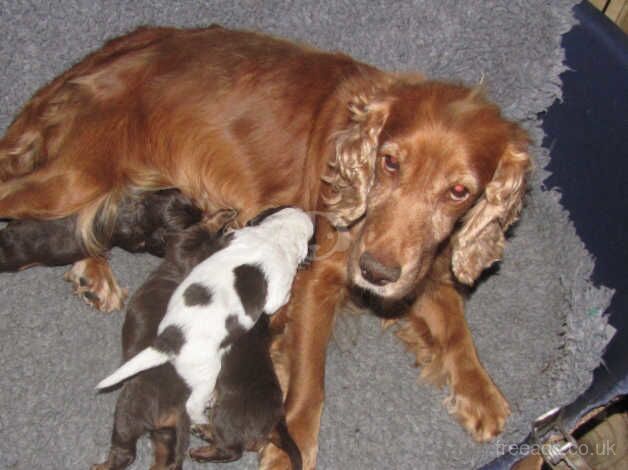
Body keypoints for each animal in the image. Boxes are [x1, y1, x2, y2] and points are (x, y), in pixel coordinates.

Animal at [96, 206, 314, 422]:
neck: (274, 233)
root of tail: (168, 342)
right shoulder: (277, 288)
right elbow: (278, 300)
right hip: (206, 372)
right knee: (192, 405)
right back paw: (202, 421)